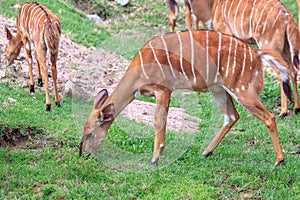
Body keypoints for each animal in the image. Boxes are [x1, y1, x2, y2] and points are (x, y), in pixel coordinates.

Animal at [79, 29, 290, 166]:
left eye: (89, 133)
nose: (82, 153)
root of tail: (256, 54)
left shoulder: (164, 89)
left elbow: (159, 120)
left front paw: (155, 159)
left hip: (243, 90)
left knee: (268, 117)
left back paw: (279, 160)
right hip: (218, 89)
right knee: (232, 116)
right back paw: (206, 152)